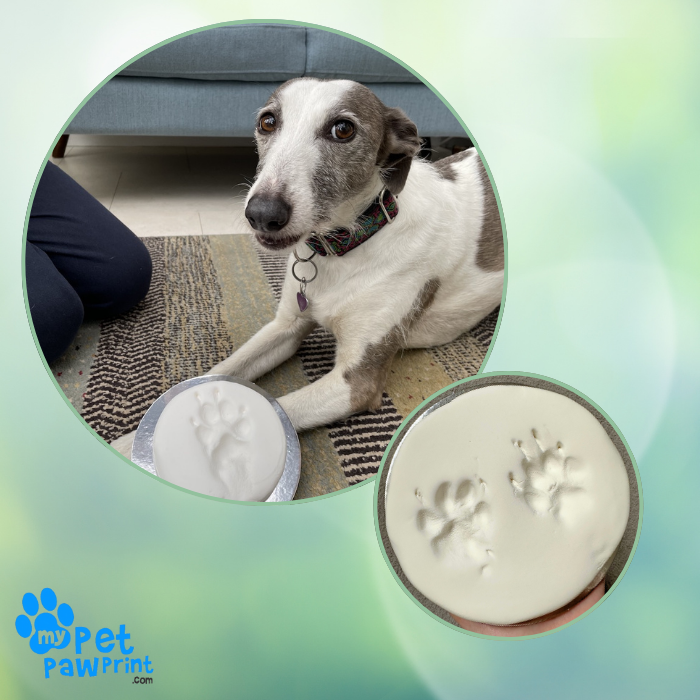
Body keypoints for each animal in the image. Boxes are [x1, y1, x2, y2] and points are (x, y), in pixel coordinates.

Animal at [110, 79, 504, 456]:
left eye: (343, 129)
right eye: (268, 121)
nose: (262, 214)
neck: (342, 250)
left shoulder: (356, 382)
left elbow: (275, 411)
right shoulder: (285, 326)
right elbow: (220, 372)